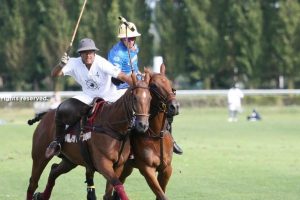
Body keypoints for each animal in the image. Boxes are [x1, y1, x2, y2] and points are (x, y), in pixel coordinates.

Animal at [103, 63, 178, 200]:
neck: (156, 134)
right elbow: (161, 194)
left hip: (126, 167)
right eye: (154, 85)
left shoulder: (166, 169)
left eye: (169, 82)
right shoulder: (147, 169)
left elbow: (161, 194)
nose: (174, 106)